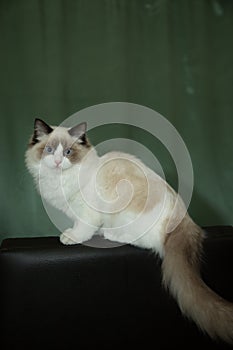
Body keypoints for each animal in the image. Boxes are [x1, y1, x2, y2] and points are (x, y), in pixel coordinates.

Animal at [25, 119, 233, 344]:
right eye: (49, 150)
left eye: (68, 152)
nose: (56, 161)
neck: (61, 181)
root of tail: (185, 218)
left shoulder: (87, 211)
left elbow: (83, 227)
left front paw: (71, 237)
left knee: (144, 241)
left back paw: (110, 234)